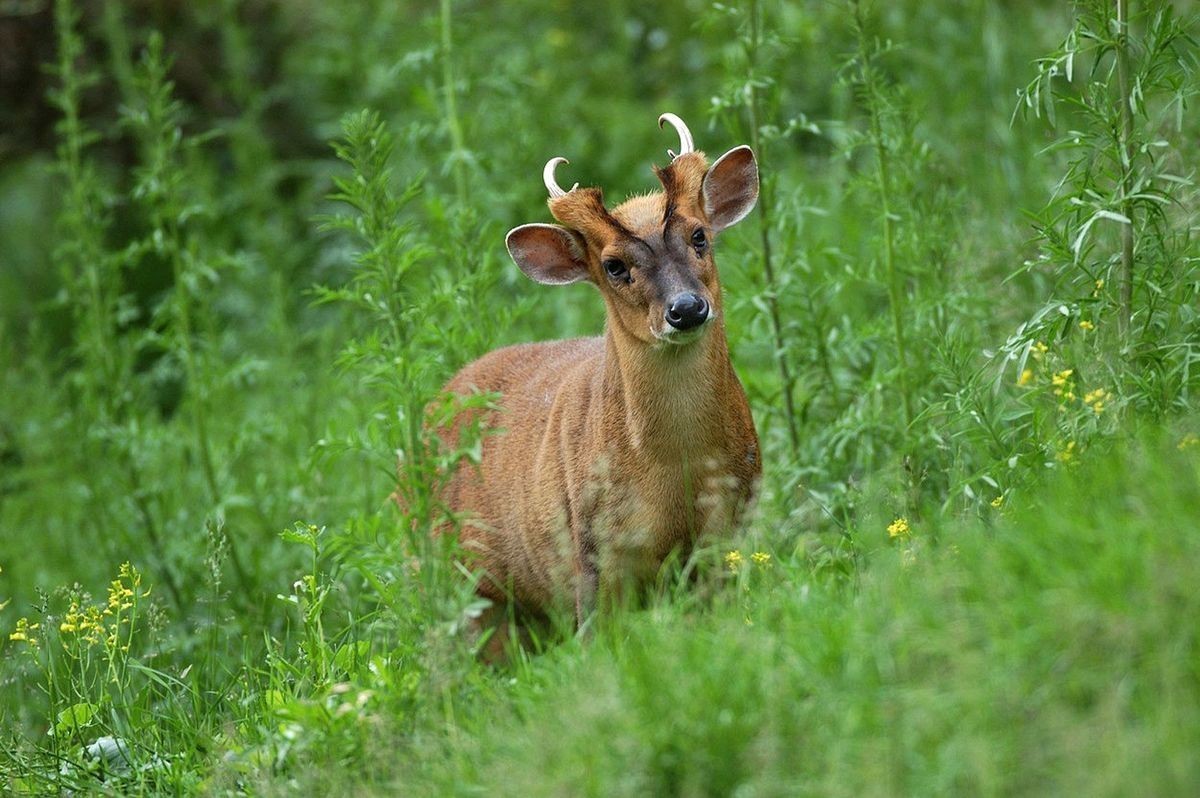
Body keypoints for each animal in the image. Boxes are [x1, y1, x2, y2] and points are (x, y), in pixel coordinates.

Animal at [439, 113, 758, 643]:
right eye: (612, 265)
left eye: (699, 235)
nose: (686, 309)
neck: (677, 469)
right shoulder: (595, 551)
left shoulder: (731, 524)